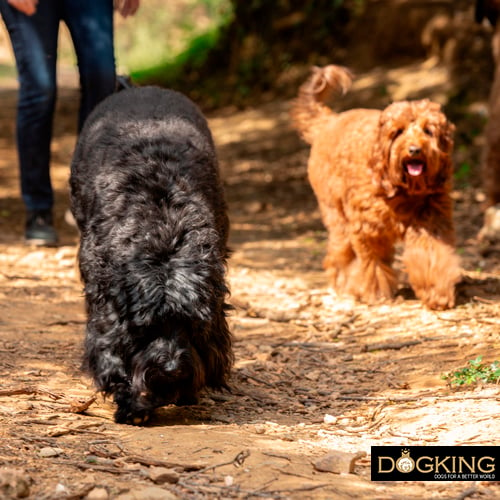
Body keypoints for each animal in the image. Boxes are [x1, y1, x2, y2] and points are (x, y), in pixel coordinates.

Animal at [69, 87, 233, 426]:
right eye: (147, 326)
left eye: (190, 324)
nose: (171, 369)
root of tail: (139, 88)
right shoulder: (104, 299)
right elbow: (114, 348)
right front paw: (133, 402)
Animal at [292, 65, 460, 308]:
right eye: (398, 132)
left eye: (428, 131)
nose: (414, 150)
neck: (401, 188)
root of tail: (330, 121)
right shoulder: (368, 229)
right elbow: (373, 262)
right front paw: (377, 293)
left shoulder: (430, 221)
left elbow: (431, 255)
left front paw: (437, 293)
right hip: (335, 212)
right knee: (341, 251)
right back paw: (344, 283)